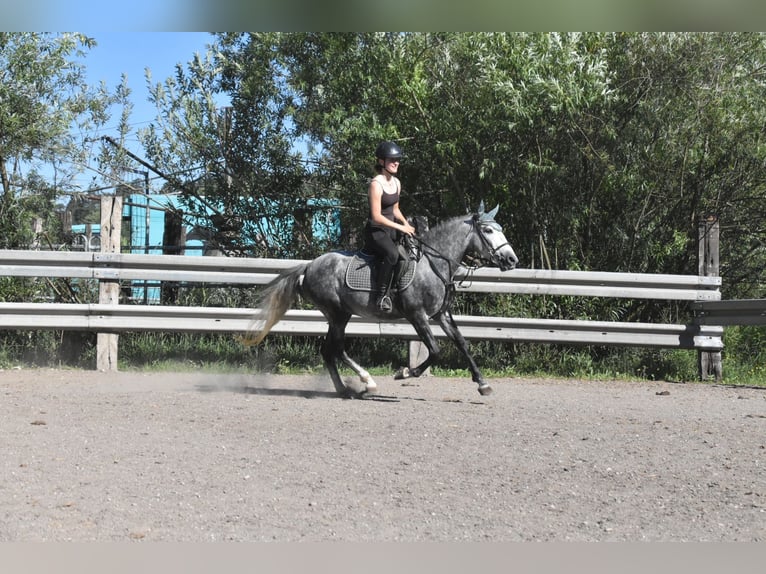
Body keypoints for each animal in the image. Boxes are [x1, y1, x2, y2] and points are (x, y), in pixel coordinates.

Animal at [245, 203, 519, 398]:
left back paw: (345, 390)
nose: (511, 260)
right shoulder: (417, 316)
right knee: (337, 349)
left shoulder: (440, 315)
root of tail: (309, 266)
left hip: (338, 316)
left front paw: (482, 384)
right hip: (338, 314)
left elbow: (462, 343)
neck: (433, 264)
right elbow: (435, 350)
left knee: (329, 351)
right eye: (488, 230)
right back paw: (367, 382)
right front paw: (405, 372)